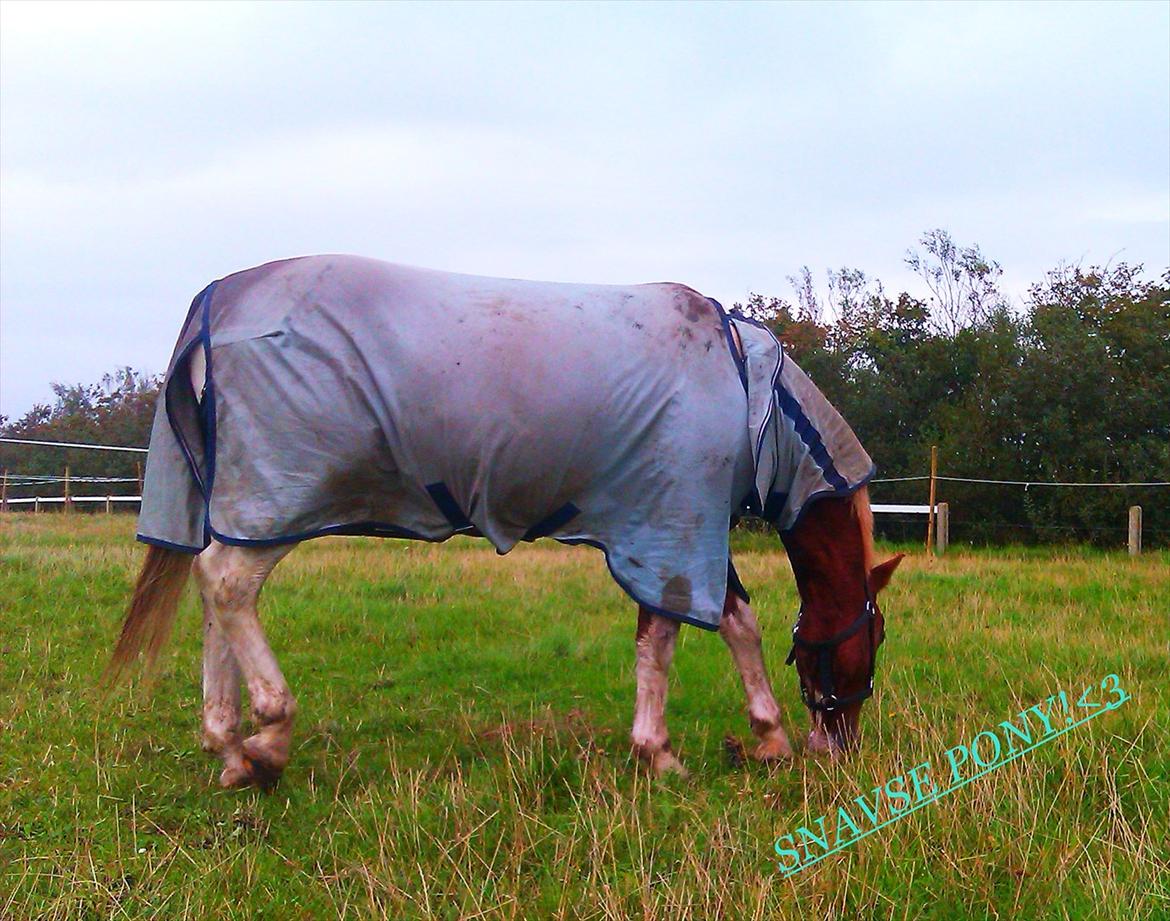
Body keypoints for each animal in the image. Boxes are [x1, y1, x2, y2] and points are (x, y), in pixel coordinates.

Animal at [107, 255, 902, 787]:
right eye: (876, 639)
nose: (839, 748)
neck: (750, 394)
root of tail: (220, 303)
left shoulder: (677, 529)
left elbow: (736, 622)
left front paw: (766, 740)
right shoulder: (670, 526)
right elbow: (668, 638)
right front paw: (664, 753)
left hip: (247, 509)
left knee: (216, 595)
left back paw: (230, 749)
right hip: (277, 500)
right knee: (227, 583)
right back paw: (269, 736)